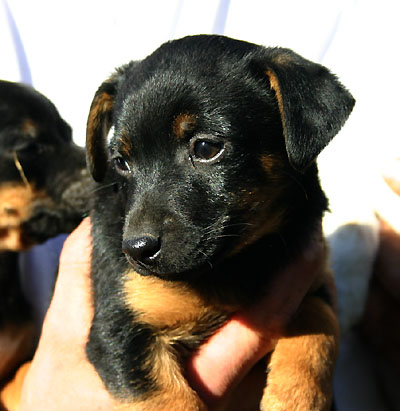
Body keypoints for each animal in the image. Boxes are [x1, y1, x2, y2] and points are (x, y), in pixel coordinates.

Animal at [85, 35, 355, 410]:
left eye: (206, 147)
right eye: (121, 163)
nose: (136, 250)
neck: (230, 266)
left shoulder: (310, 278)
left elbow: (320, 323)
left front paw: (296, 396)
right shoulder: (120, 329)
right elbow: (173, 401)